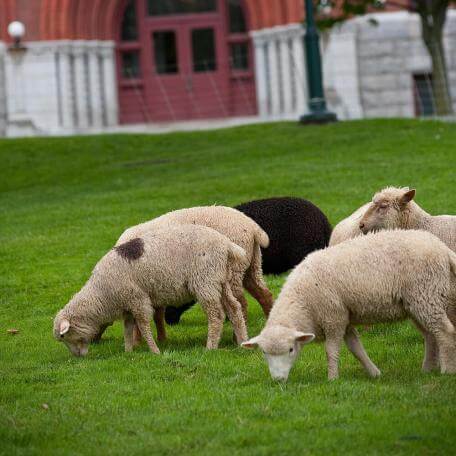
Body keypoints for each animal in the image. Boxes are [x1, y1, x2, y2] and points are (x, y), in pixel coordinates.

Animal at [56, 224, 253, 356]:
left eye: (64, 336)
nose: (78, 357)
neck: (101, 293)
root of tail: (226, 244)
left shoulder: (138, 299)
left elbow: (143, 325)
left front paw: (154, 351)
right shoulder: (128, 305)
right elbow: (128, 329)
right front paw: (128, 352)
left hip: (205, 281)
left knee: (216, 315)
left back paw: (210, 347)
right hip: (221, 280)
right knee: (235, 308)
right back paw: (242, 341)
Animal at [242, 228, 456, 382]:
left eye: (291, 350)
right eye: (264, 353)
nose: (278, 380)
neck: (303, 301)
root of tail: (443, 249)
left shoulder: (333, 318)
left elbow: (331, 351)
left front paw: (332, 379)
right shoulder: (344, 318)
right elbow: (356, 349)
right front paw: (374, 373)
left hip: (426, 295)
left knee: (444, 332)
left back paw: (446, 370)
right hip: (417, 303)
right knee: (430, 335)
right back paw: (427, 370)